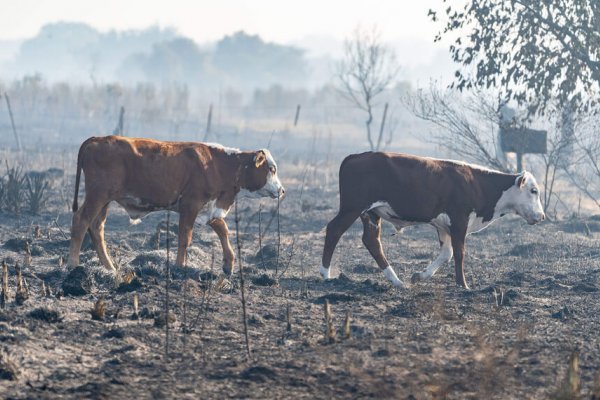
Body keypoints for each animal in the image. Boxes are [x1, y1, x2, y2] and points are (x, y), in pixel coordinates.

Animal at [69, 136, 284, 274]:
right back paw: (73, 265)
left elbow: (222, 230)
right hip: (97, 195)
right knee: (81, 221)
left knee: (97, 228)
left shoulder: (209, 207)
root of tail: (97, 139)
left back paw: (109, 267)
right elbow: (184, 238)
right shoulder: (190, 204)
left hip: (105, 200)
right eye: (271, 169)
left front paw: (228, 264)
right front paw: (180, 266)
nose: (282, 191)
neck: (219, 165)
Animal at [322, 152, 548, 288]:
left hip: (371, 213)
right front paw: (463, 284)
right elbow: (459, 254)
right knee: (334, 230)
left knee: (372, 242)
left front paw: (420, 276)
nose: (542, 216)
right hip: (352, 208)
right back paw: (325, 273)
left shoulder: (443, 226)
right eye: (533, 191)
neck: (477, 184)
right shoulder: (459, 221)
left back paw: (396, 281)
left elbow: (446, 254)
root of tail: (356, 156)